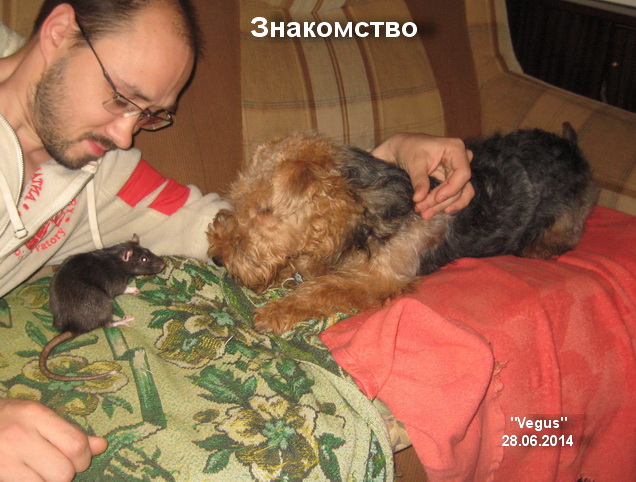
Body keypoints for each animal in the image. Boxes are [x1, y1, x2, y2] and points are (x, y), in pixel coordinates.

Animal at [208, 127, 597, 333]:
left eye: (264, 210)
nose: (216, 258)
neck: (360, 208)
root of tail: (572, 147)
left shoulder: (380, 279)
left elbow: (324, 289)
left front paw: (275, 312)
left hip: (563, 219)